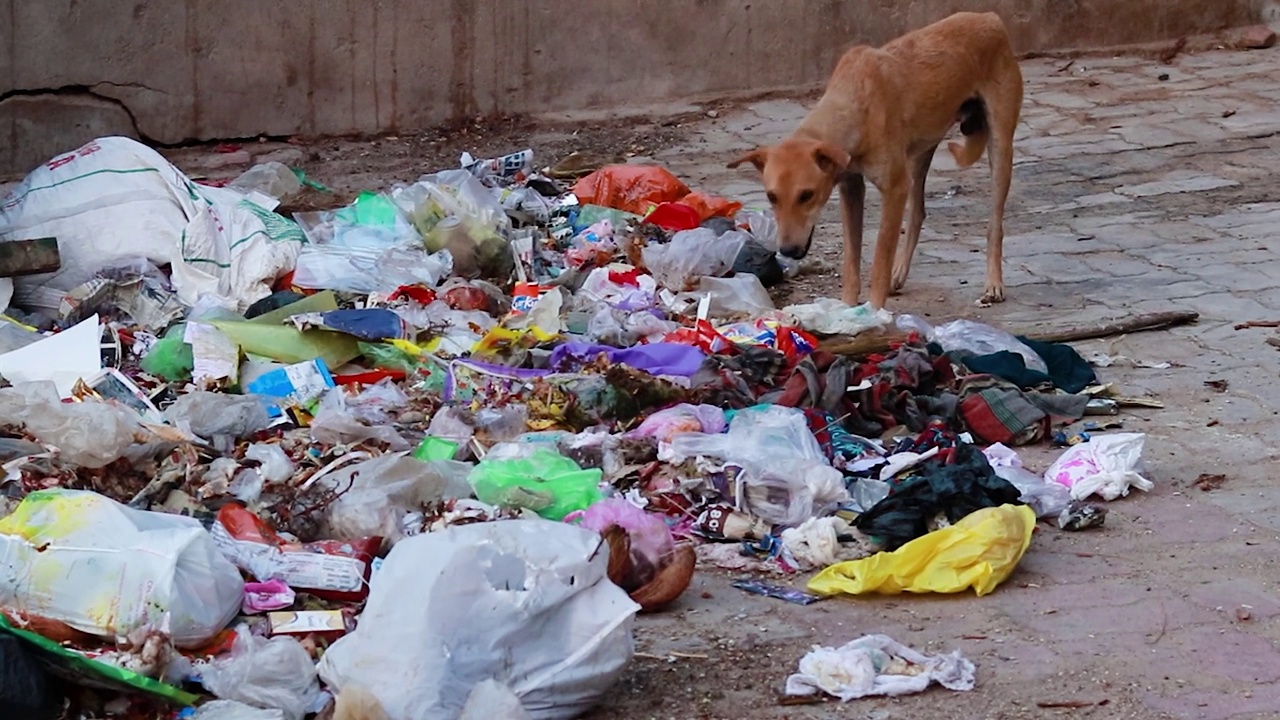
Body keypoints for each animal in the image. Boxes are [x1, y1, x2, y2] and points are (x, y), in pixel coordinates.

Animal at [732, 11, 1018, 308]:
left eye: (806, 195)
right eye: (771, 197)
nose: (787, 250)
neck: (854, 104)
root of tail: (988, 17)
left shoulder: (894, 189)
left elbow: (880, 260)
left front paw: (875, 310)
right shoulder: (851, 188)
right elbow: (851, 262)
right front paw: (847, 307)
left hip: (999, 148)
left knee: (994, 225)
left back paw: (993, 283)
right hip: (920, 153)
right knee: (917, 213)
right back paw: (900, 273)